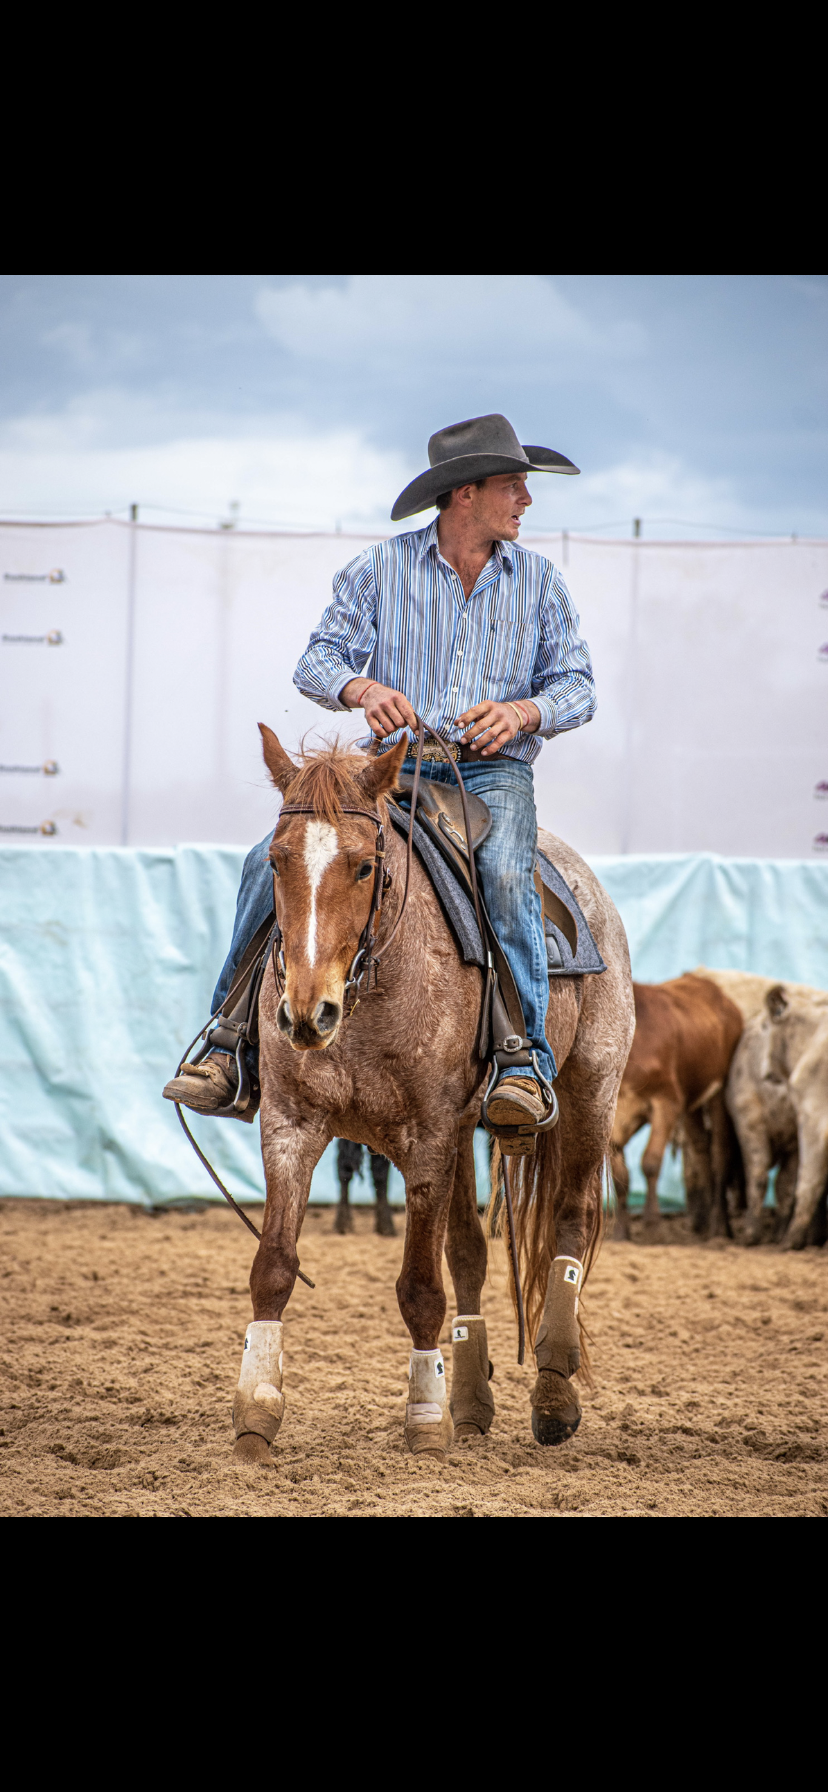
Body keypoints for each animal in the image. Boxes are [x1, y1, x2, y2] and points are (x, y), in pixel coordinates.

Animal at [232, 726, 635, 1465]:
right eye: (275, 862)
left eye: (365, 866)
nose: (306, 1013)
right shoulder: (291, 1125)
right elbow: (272, 1267)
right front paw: (257, 1412)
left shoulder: (426, 1139)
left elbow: (420, 1287)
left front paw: (423, 1416)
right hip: (470, 1133)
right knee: (471, 1252)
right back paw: (472, 1403)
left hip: (591, 1087)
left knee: (571, 1220)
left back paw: (553, 1393)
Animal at [611, 973, 743, 1241]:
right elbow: (620, 1176)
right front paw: (621, 1231)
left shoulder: (667, 1102)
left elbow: (650, 1162)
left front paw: (652, 1226)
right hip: (692, 1101)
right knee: (701, 1149)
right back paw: (704, 1222)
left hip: (720, 1090)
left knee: (719, 1153)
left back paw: (720, 1226)